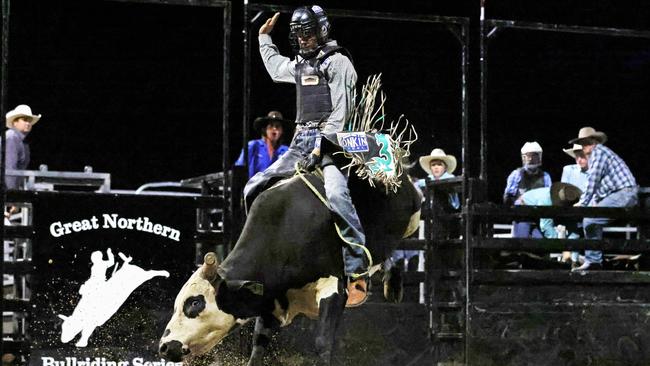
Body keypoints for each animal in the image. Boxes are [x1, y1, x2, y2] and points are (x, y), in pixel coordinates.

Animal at [157, 170, 420, 364]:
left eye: (195, 303)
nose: (164, 347)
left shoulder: (332, 288)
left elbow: (323, 343)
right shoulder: (271, 303)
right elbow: (257, 348)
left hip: (412, 219)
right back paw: (391, 284)